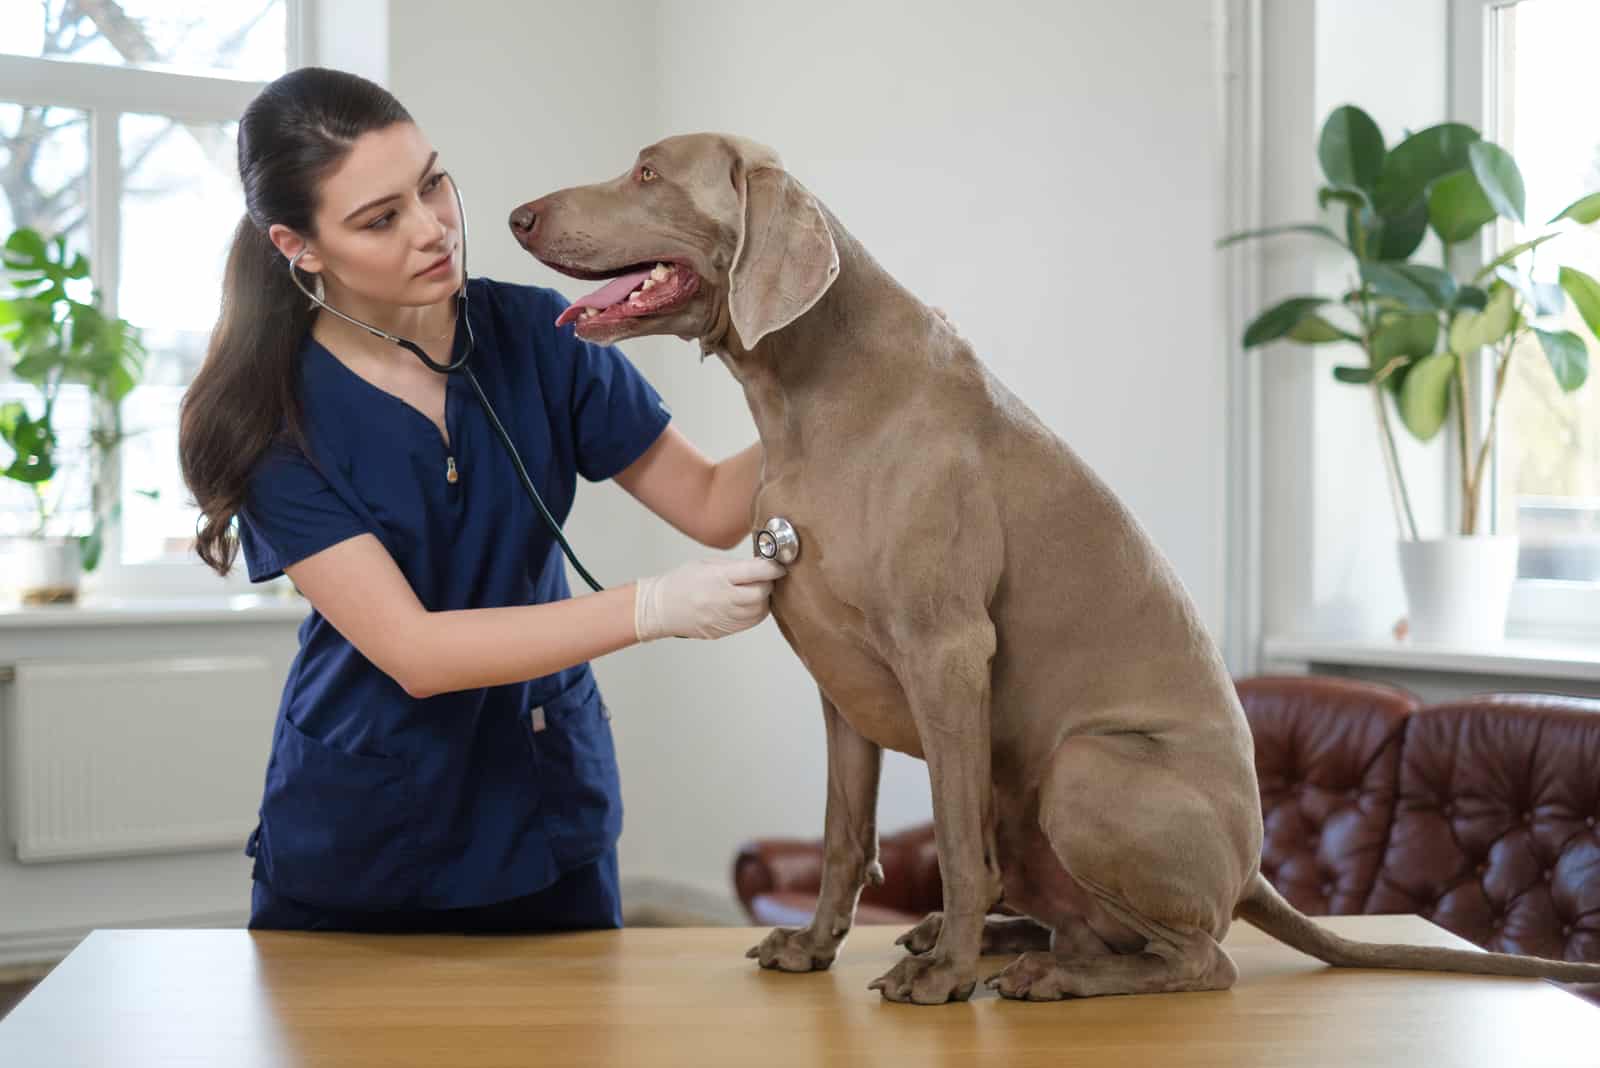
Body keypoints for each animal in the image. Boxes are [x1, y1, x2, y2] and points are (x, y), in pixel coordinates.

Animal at [508, 133, 1600, 1004]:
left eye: (649, 173)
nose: (516, 212)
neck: (804, 392)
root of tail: (1252, 868)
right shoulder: (840, 684)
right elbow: (844, 835)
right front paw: (819, 947)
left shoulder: (948, 654)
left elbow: (950, 843)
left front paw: (944, 979)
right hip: (1025, 793)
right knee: (1074, 912)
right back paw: (997, 942)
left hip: (1079, 771)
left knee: (1197, 956)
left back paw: (1036, 971)